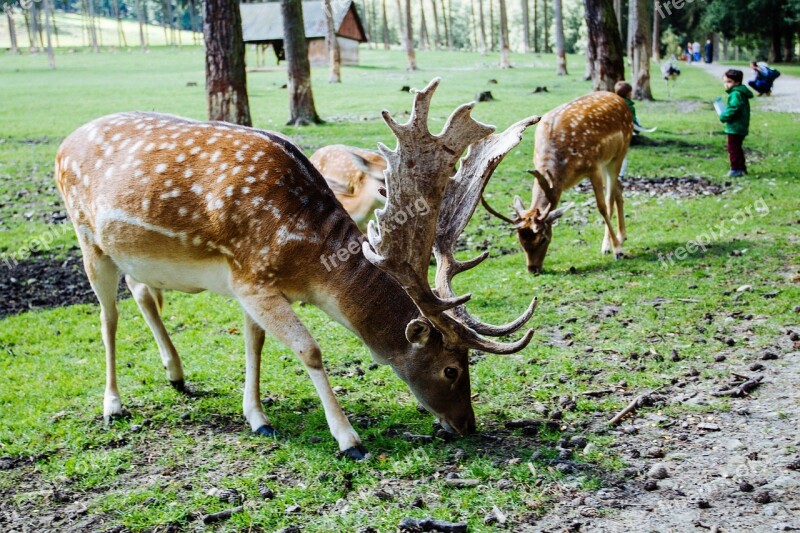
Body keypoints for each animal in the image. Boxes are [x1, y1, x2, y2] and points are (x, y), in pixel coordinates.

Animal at [54, 78, 544, 458]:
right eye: (451, 369)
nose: (467, 425)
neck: (306, 263)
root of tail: (63, 144)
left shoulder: (249, 284)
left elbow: (254, 344)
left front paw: (257, 417)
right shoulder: (253, 278)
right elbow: (309, 350)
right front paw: (349, 440)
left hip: (131, 253)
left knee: (140, 291)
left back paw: (175, 373)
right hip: (87, 238)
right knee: (108, 317)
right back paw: (113, 404)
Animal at [482, 91, 632, 272]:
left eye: (543, 238)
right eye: (520, 240)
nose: (533, 269)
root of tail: (618, 98)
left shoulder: (593, 166)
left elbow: (602, 207)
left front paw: (618, 251)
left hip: (620, 151)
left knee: (611, 196)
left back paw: (610, 245)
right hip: (607, 161)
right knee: (618, 187)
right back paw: (622, 236)